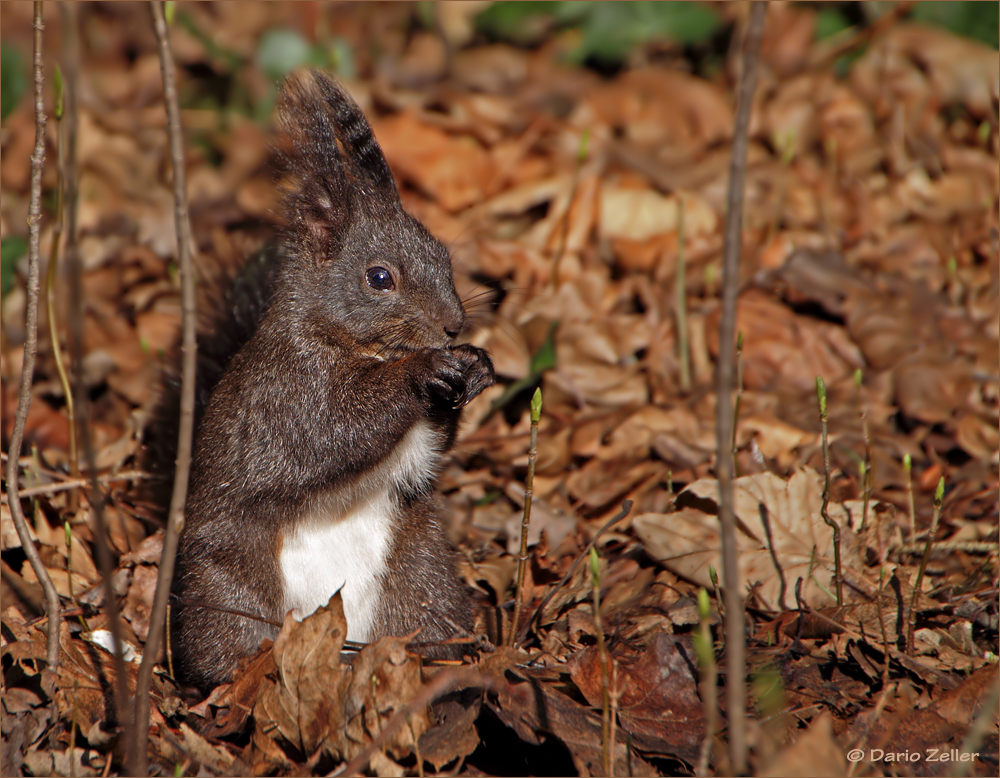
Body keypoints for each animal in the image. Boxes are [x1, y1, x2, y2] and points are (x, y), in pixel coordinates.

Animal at [142, 71, 496, 692]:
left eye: (443, 256)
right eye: (379, 278)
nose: (453, 324)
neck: (356, 347)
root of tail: (335, 641)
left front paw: (474, 366)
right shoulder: (287, 392)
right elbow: (332, 431)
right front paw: (421, 372)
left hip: (421, 579)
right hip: (230, 587)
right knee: (230, 640)